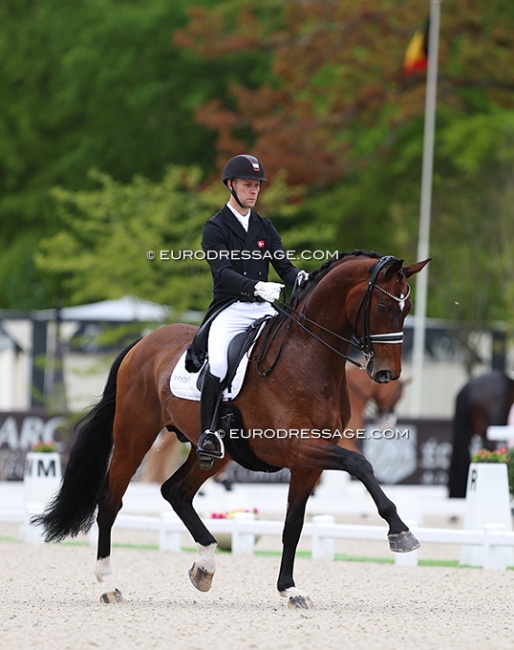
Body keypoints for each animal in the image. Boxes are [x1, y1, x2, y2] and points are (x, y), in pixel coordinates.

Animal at [32, 249, 428, 608]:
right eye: (382, 308)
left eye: (407, 309)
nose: (386, 373)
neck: (309, 356)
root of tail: (143, 343)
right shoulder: (298, 447)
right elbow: (360, 464)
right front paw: (400, 531)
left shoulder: (307, 463)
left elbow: (293, 526)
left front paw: (289, 590)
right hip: (135, 436)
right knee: (111, 500)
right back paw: (108, 584)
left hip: (215, 452)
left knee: (175, 491)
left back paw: (205, 565)